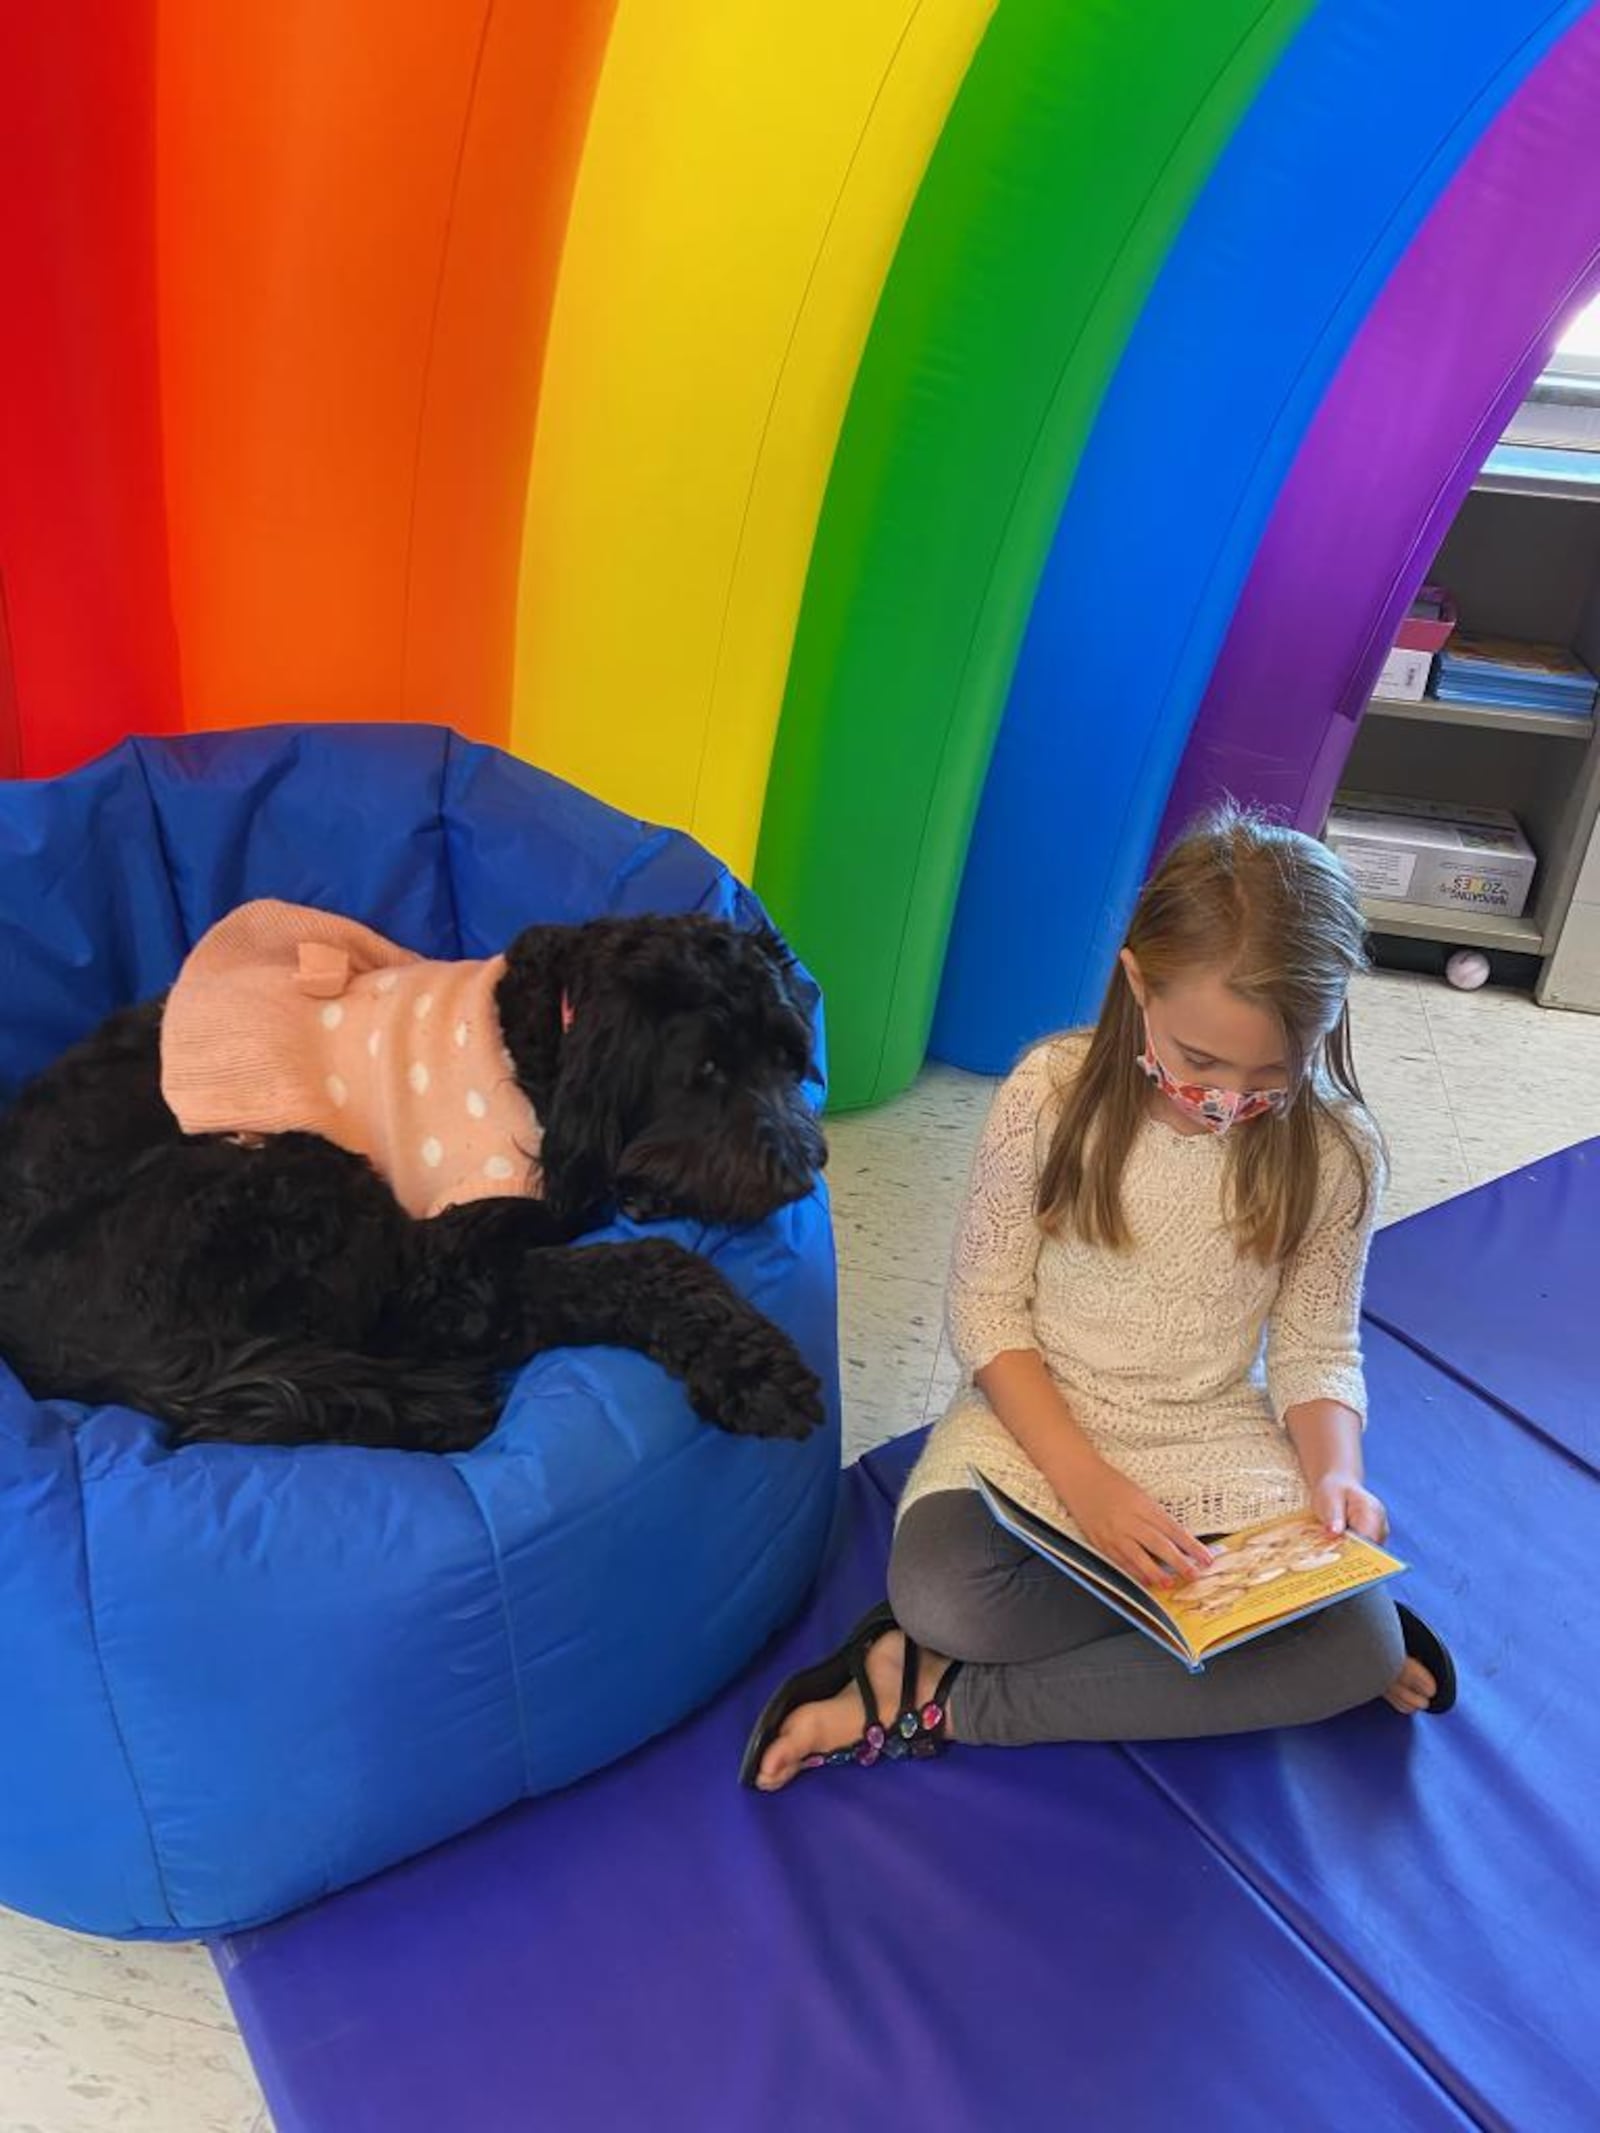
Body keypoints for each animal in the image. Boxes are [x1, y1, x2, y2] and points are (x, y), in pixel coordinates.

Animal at [0, 908, 827, 1458]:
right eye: (707, 1069)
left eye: (789, 1057)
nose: (800, 1168)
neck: (548, 1034)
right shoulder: (452, 1265)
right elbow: (638, 1263)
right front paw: (755, 1363)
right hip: (291, 1174)